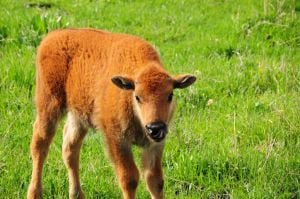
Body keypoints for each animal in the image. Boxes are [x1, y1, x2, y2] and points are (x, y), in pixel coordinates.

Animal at [27, 28, 197, 199]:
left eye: (170, 95)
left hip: (79, 116)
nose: (155, 128)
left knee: (70, 149)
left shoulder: (155, 145)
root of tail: (53, 35)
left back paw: (76, 194)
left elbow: (155, 180)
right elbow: (129, 178)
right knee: (40, 145)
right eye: (137, 96)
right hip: (49, 105)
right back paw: (34, 193)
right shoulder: (117, 139)